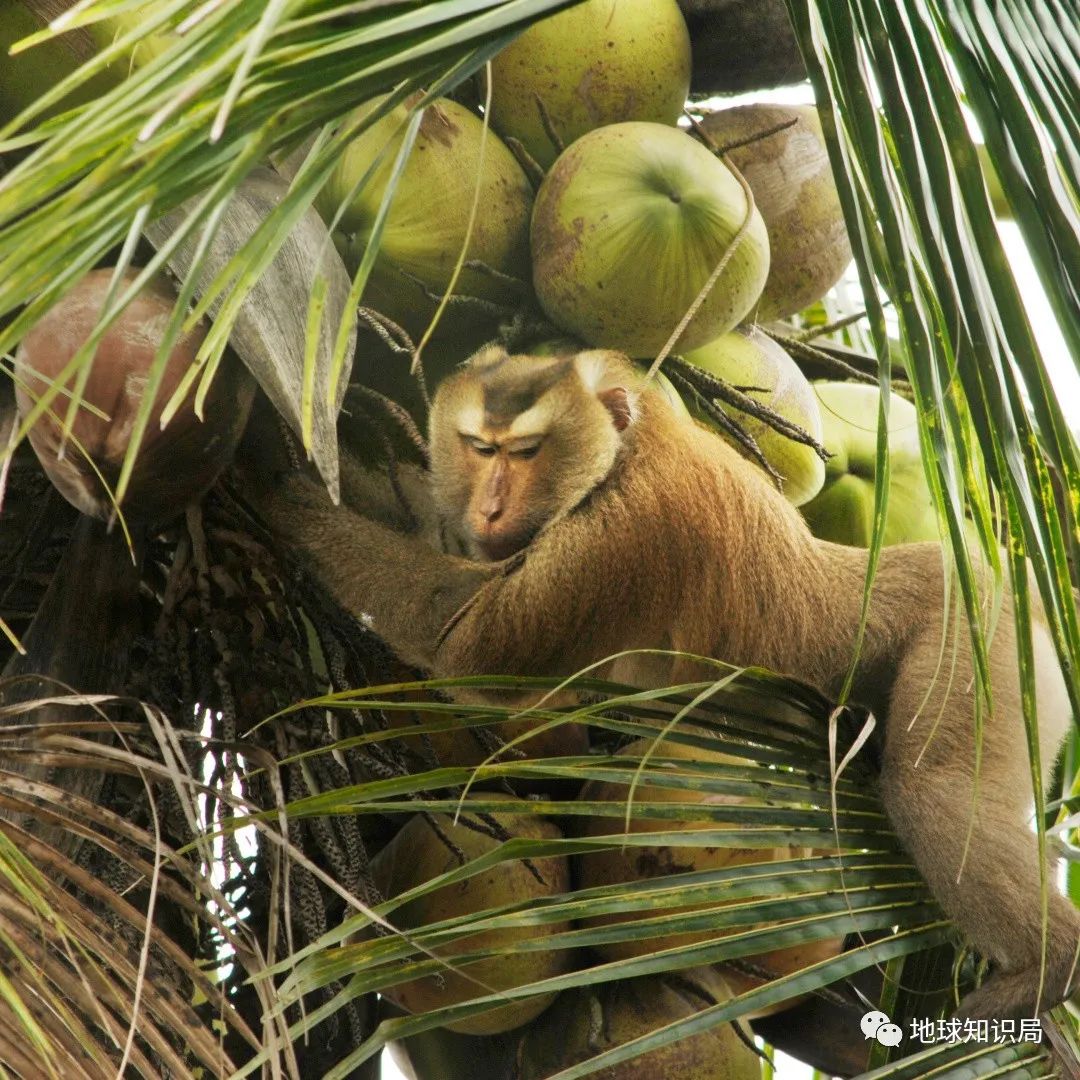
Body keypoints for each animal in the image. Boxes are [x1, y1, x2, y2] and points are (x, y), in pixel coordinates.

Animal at [247, 343, 1080, 1019]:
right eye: (481, 448)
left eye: (526, 451)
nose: (489, 504)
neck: (629, 442)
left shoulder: (630, 527)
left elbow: (474, 642)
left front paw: (281, 492)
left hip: (978, 651)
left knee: (935, 794)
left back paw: (1050, 964)